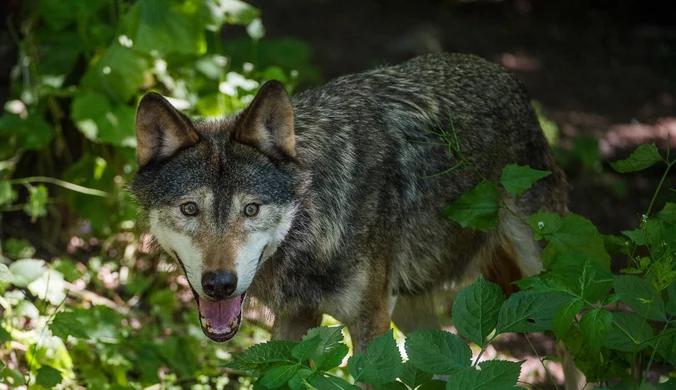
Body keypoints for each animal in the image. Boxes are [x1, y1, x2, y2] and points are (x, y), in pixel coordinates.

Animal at [131, 51, 572, 380]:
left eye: (250, 208)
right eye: (190, 209)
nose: (220, 284)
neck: (314, 223)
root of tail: (502, 73)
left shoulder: (370, 327)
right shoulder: (294, 322)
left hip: (548, 285)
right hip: (413, 315)